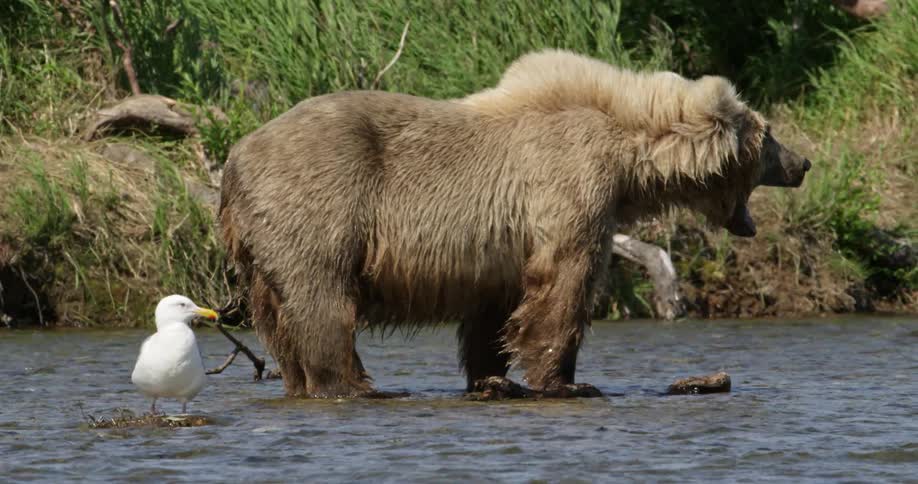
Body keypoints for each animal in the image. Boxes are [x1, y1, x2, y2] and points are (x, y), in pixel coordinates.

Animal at [219, 49, 810, 398]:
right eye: (769, 134)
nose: (803, 163)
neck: (631, 151)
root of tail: (235, 159)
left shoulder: (502, 242)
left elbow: (497, 308)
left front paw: (491, 376)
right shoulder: (570, 183)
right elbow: (565, 284)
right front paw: (568, 382)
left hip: (259, 241)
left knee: (277, 316)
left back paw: (302, 382)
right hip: (320, 201)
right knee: (322, 297)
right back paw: (356, 384)